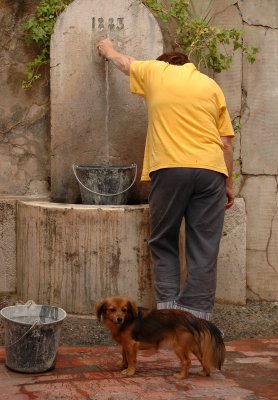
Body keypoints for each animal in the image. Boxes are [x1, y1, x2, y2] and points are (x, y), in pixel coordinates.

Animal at [96, 296, 225, 380]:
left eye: (124, 310)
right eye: (112, 309)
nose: (119, 319)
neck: (127, 320)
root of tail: (193, 318)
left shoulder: (131, 344)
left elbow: (131, 359)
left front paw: (129, 371)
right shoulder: (125, 344)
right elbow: (124, 355)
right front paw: (123, 365)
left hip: (179, 347)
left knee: (187, 361)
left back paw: (181, 376)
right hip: (193, 347)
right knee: (204, 359)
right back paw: (205, 373)